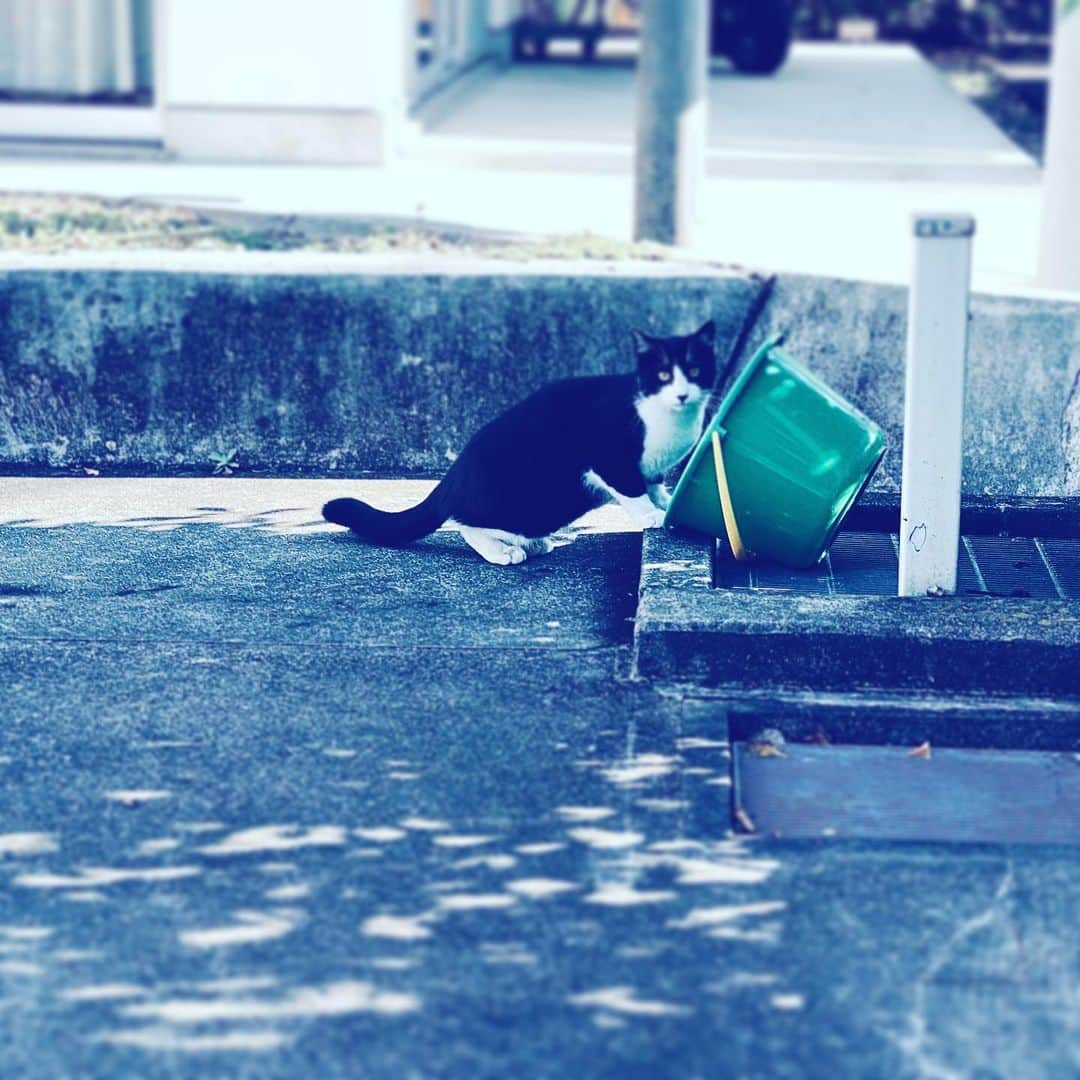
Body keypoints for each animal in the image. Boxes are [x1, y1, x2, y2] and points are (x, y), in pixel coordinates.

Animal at [324, 317, 721, 565]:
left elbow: (653, 483)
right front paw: (652, 514)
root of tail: (453, 475)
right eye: (663, 374)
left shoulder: (650, 468)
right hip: (530, 501)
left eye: (695, 370)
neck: (665, 417)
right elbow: (632, 490)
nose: (682, 394)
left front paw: (667, 502)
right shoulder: (609, 456)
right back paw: (503, 551)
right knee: (463, 521)